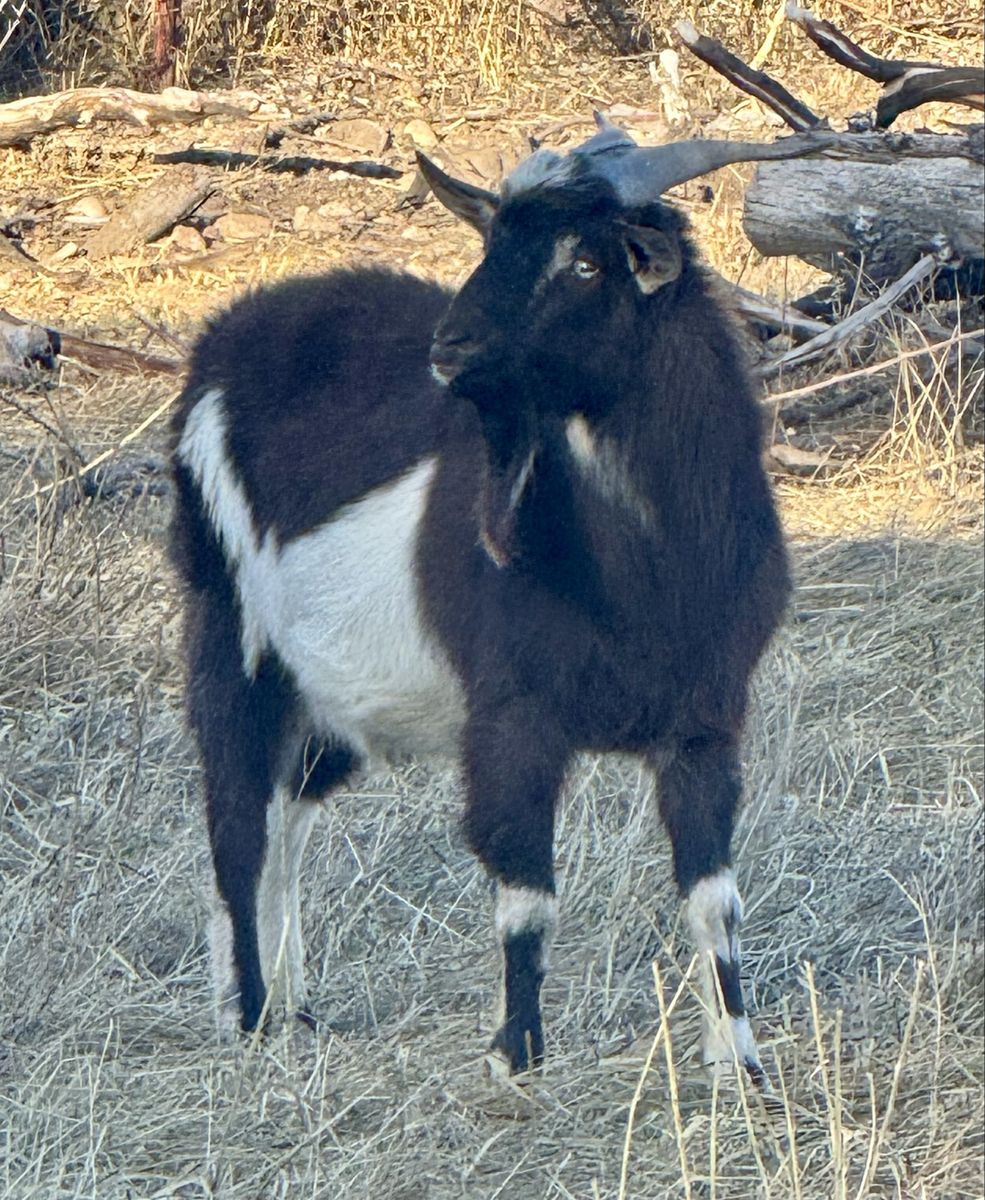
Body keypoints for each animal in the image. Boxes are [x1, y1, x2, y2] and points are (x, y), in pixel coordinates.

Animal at [170, 119, 825, 1081]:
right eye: (491, 244)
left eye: (585, 263)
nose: (449, 349)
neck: (642, 570)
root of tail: (224, 335)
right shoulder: (513, 720)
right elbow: (526, 898)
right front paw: (516, 1059)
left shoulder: (704, 724)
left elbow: (714, 898)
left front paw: (736, 1060)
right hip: (231, 630)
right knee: (235, 816)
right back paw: (247, 1016)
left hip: (326, 689)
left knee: (287, 809)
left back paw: (294, 1007)